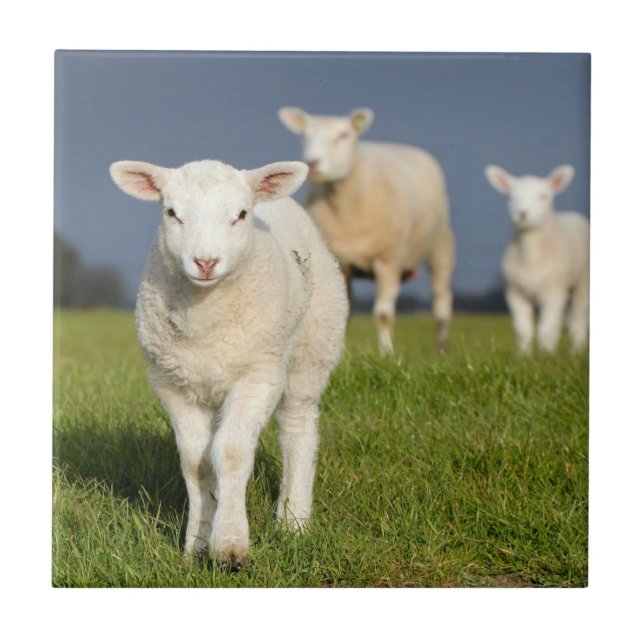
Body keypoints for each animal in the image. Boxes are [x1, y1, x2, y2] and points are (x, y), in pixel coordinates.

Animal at [109, 158, 348, 570]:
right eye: (171, 212)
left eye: (240, 214)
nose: (205, 262)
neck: (206, 317)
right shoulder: (173, 383)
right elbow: (196, 462)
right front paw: (196, 544)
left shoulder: (258, 375)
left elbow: (232, 453)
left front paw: (231, 547)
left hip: (313, 347)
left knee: (298, 428)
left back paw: (294, 520)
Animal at [278, 106, 456, 355]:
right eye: (305, 136)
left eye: (343, 135)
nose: (312, 163)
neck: (346, 209)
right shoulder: (341, 264)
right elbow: (344, 311)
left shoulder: (388, 260)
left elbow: (383, 314)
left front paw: (387, 353)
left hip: (441, 246)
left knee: (441, 301)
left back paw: (442, 348)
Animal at [485, 164, 590, 354]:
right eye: (511, 197)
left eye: (543, 196)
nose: (522, 214)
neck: (531, 258)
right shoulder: (514, 292)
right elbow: (523, 330)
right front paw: (524, 355)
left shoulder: (555, 291)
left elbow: (546, 330)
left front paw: (546, 355)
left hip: (582, 284)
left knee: (578, 320)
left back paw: (576, 351)